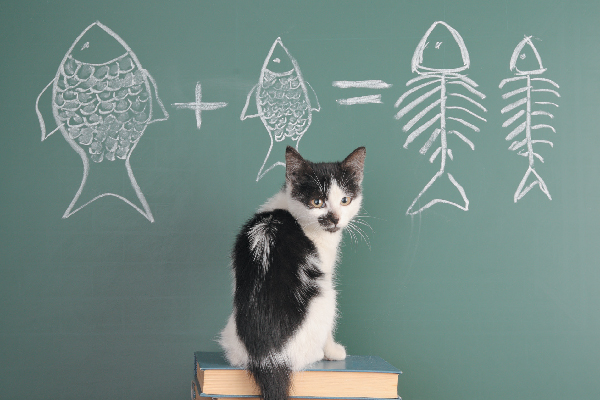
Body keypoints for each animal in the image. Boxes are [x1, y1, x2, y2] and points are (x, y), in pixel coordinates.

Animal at [218, 146, 364, 400]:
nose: (335, 218)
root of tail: (267, 357)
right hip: (327, 297)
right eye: (317, 202)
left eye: (345, 200)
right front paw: (333, 350)